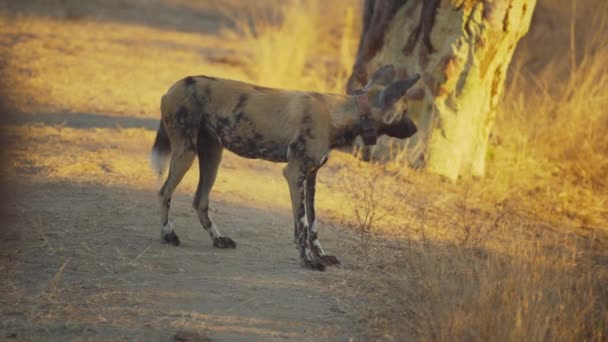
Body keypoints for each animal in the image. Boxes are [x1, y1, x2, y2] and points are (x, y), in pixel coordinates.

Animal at [150, 65, 420, 272]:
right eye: (405, 111)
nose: (416, 129)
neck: (343, 115)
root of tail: (174, 86)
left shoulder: (310, 177)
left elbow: (313, 225)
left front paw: (321, 255)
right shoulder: (294, 174)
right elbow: (302, 225)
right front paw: (308, 261)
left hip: (212, 157)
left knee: (200, 201)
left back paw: (218, 239)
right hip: (186, 153)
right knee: (164, 192)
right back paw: (168, 234)